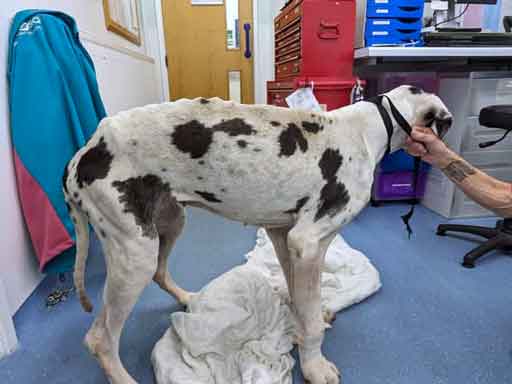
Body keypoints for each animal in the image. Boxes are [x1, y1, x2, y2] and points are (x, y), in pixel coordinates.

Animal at [63, 85, 452, 382]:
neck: (368, 127)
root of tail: (83, 153)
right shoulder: (308, 243)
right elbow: (311, 323)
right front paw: (314, 366)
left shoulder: (284, 236)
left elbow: (300, 298)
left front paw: (303, 317)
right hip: (135, 256)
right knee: (100, 340)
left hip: (167, 226)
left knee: (159, 272)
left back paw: (188, 299)